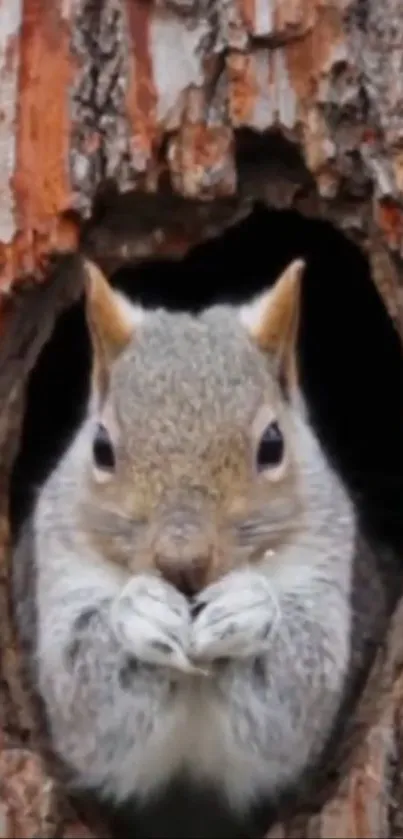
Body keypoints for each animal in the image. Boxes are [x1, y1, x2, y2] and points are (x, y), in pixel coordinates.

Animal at [13, 260, 394, 836]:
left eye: (273, 444)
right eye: (101, 448)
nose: (182, 563)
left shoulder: (331, 569)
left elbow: (299, 694)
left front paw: (251, 609)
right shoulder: (56, 569)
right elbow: (84, 693)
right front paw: (138, 614)